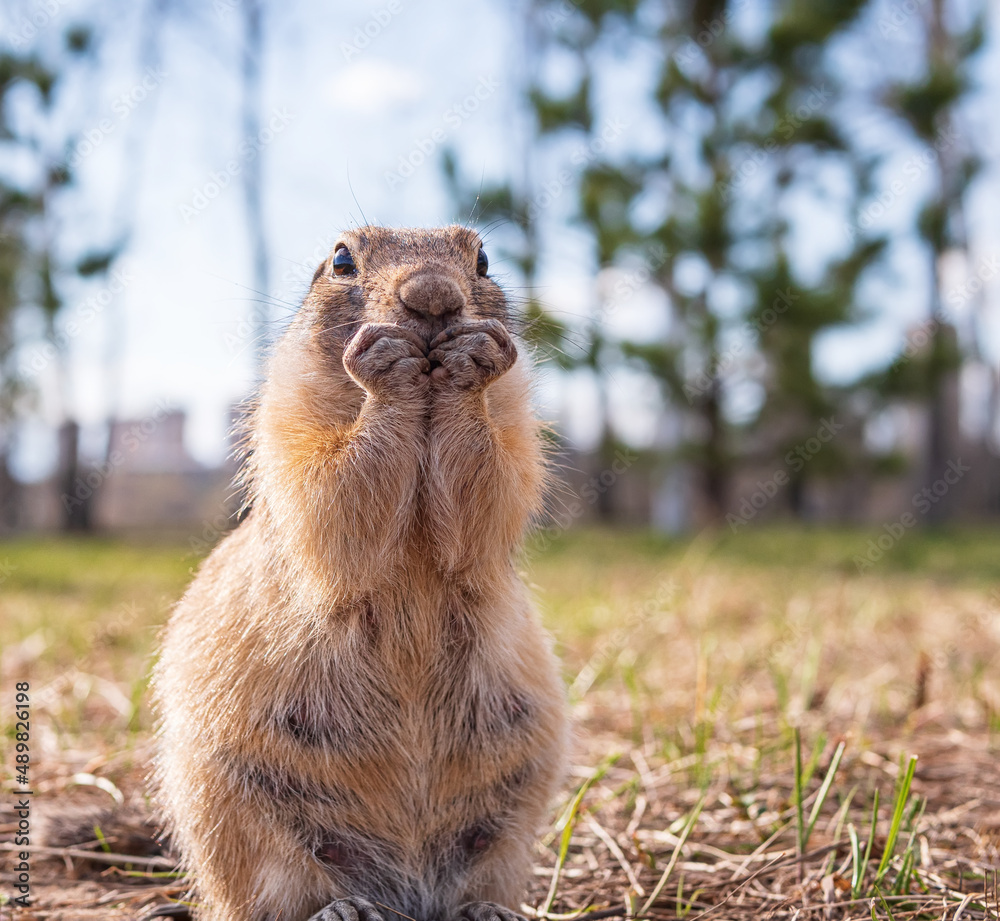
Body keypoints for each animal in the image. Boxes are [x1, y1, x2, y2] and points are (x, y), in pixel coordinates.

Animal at [152, 225, 568, 920]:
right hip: (235, 820)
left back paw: (487, 908)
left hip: (510, 824)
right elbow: (329, 488)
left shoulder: (516, 422)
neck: (424, 414)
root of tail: (409, 888)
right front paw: (385, 367)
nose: (433, 295)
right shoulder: (287, 417)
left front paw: (472, 360)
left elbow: (497, 479)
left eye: (483, 259)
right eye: (343, 259)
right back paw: (342, 908)